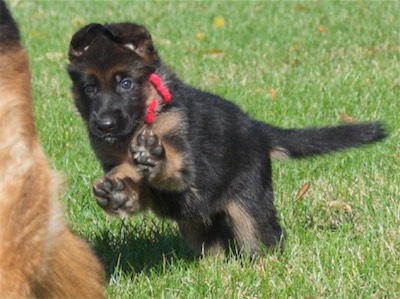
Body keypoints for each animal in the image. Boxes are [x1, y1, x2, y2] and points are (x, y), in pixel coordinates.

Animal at [67, 22, 386, 258]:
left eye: (126, 83)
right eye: (89, 88)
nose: (104, 125)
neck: (146, 114)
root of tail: (258, 129)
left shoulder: (184, 159)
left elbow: (171, 166)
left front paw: (153, 157)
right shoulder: (113, 160)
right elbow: (132, 181)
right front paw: (117, 192)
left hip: (248, 205)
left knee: (267, 237)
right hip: (199, 221)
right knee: (213, 242)